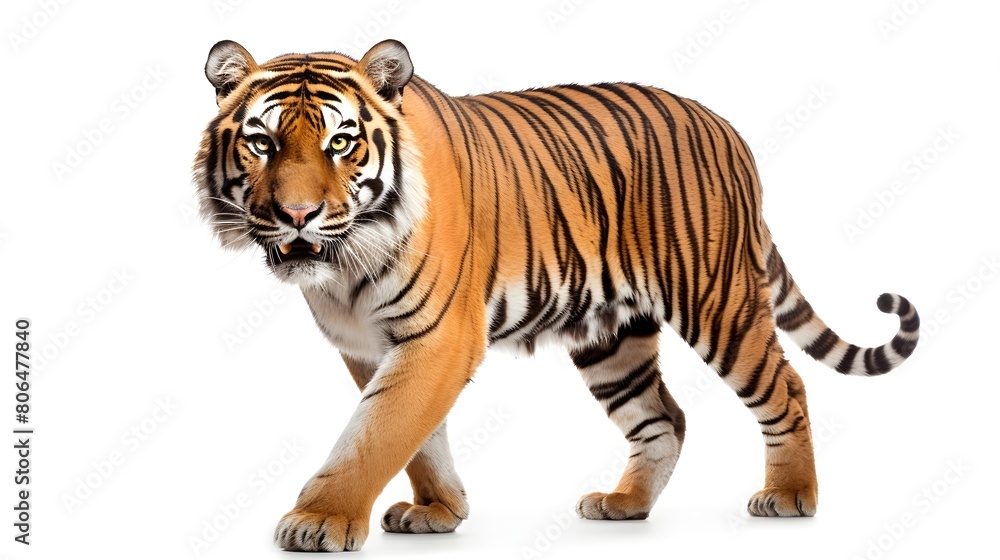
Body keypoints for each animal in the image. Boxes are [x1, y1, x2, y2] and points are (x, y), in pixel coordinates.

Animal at [193, 39, 920, 552]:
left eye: (340, 143)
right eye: (262, 143)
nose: (297, 215)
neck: (343, 266)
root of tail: (727, 129)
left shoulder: (437, 338)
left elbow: (375, 432)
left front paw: (320, 520)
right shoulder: (370, 347)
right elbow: (414, 434)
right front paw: (439, 510)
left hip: (718, 299)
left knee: (785, 387)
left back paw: (791, 496)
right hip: (613, 337)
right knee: (665, 418)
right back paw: (626, 505)